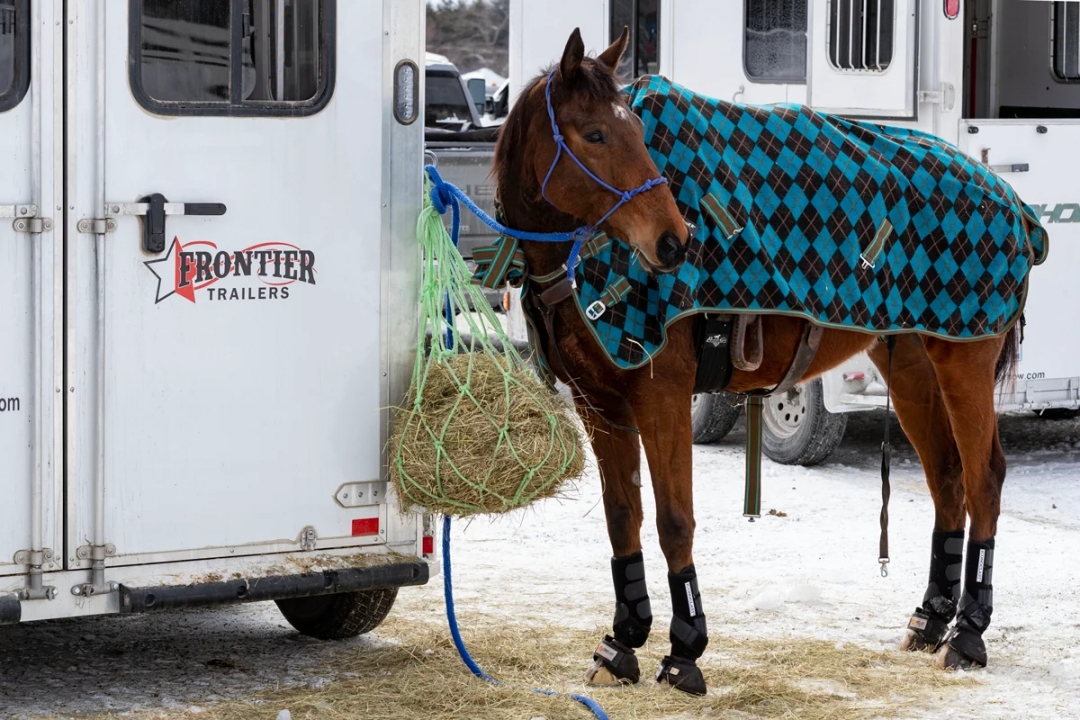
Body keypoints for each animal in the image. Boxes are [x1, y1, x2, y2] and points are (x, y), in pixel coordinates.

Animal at [492, 27, 1026, 695]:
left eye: (635, 130)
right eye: (594, 134)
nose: (674, 241)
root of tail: (1010, 200)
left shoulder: (661, 399)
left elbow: (673, 519)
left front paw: (685, 649)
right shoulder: (600, 405)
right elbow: (623, 518)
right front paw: (624, 641)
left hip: (963, 365)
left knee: (983, 480)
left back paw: (969, 634)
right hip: (910, 369)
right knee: (948, 479)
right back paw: (931, 620)